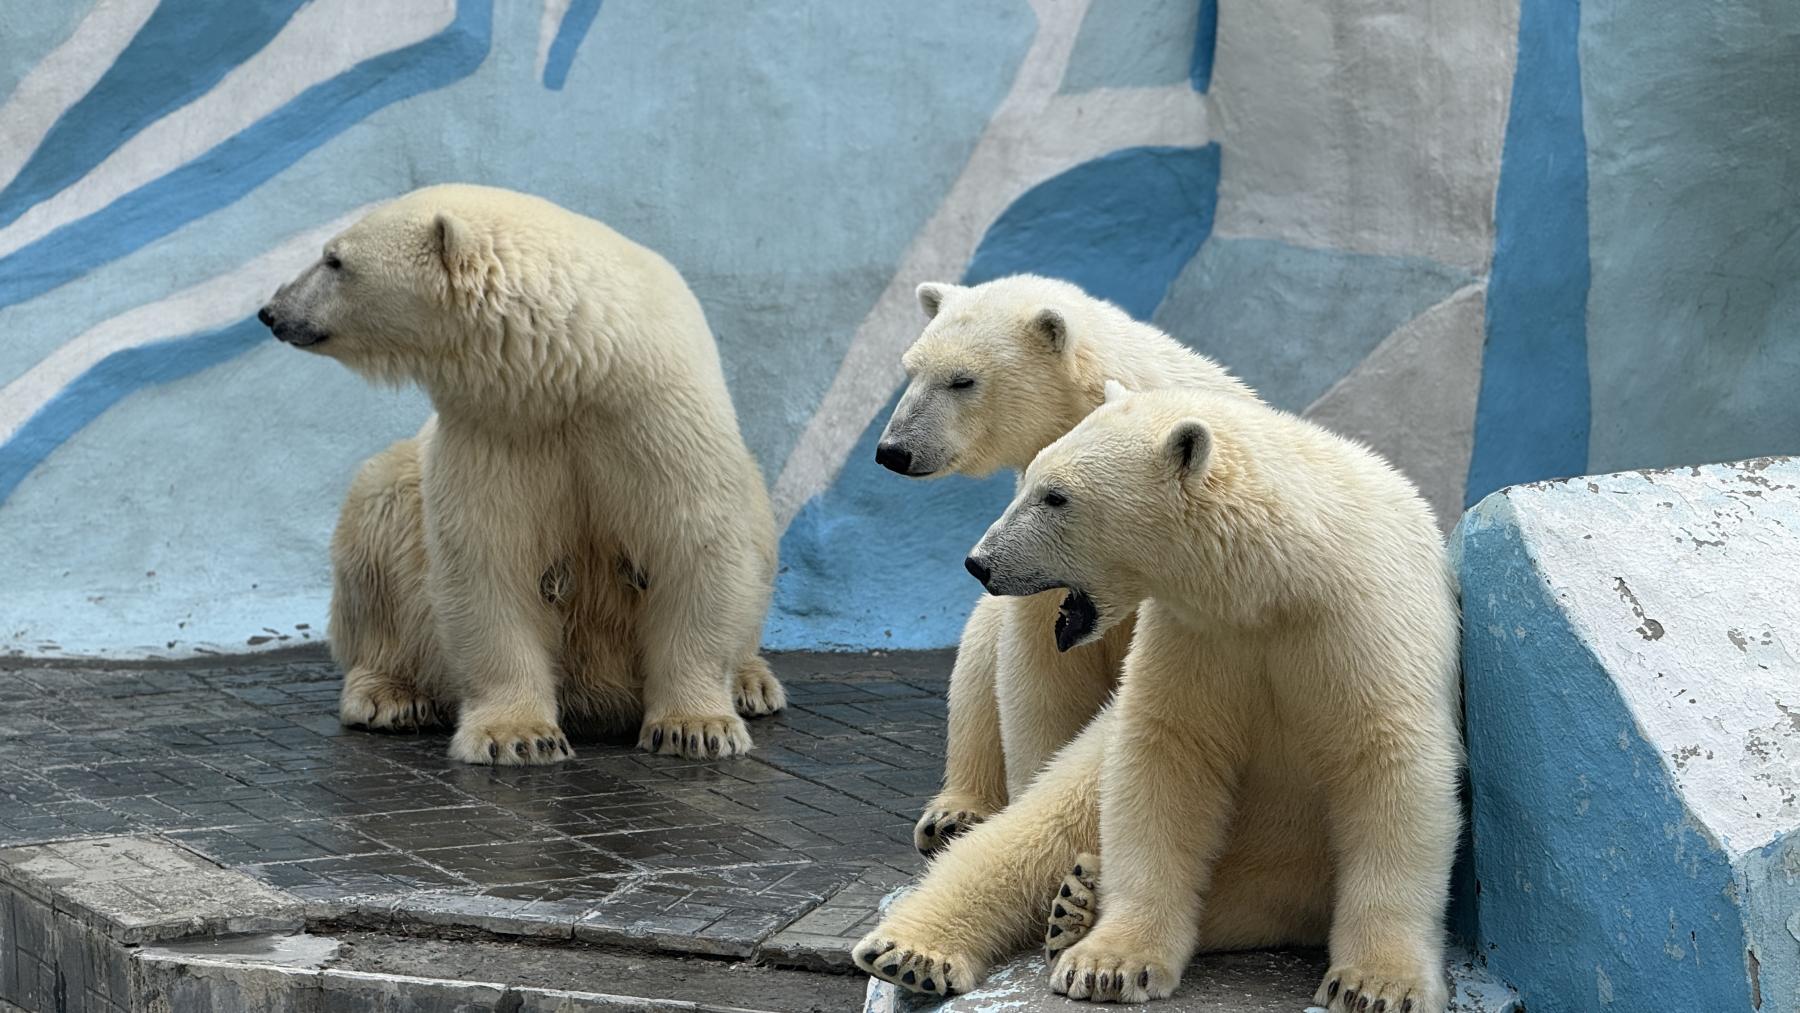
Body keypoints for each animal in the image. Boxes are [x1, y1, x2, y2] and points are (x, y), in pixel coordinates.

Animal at [259, 186, 781, 766]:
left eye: (335, 261)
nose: (272, 311)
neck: (576, 375)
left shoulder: (655, 420)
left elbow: (694, 549)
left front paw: (697, 727)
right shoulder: (496, 434)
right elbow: (488, 566)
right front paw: (519, 736)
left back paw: (753, 683)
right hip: (397, 499)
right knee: (376, 523)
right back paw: (389, 696)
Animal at [856, 385, 1461, 1007]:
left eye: (1056, 496)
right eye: (1032, 479)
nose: (979, 563)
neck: (1284, 582)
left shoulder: (1361, 626)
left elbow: (1388, 770)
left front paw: (1376, 986)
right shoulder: (1200, 638)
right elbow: (1166, 761)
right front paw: (1108, 964)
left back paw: (1077, 902)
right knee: (1044, 824)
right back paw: (919, 949)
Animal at [878, 273, 1260, 852]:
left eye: (963, 381)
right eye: (910, 370)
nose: (893, 451)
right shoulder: (1048, 556)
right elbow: (1041, 674)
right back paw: (952, 814)